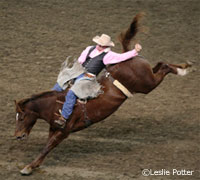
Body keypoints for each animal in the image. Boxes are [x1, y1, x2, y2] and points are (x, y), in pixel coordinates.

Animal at [13, 13, 191, 174]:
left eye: (21, 117)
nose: (18, 136)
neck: (56, 104)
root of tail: (125, 56)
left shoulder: (64, 130)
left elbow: (48, 147)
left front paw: (28, 167)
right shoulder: (54, 128)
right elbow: (47, 145)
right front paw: (34, 165)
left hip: (147, 84)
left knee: (164, 66)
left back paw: (183, 69)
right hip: (147, 77)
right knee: (160, 65)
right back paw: (184, 66)